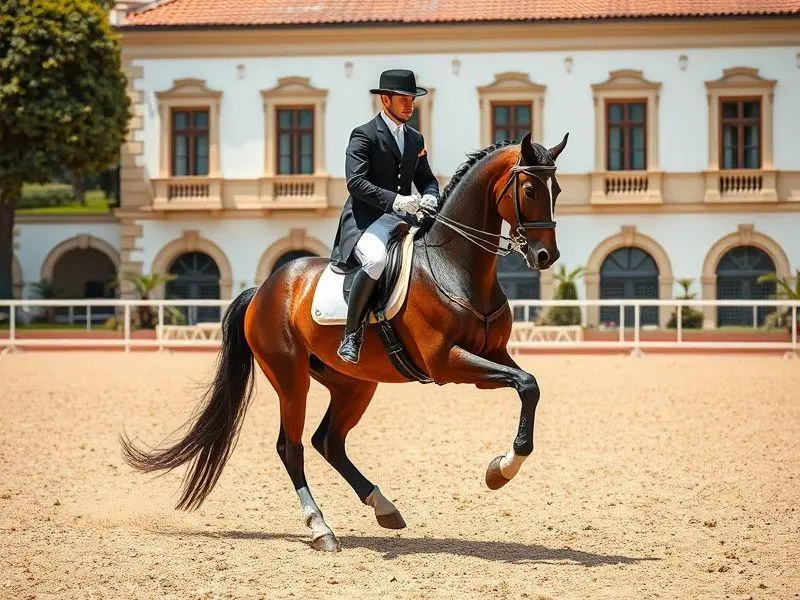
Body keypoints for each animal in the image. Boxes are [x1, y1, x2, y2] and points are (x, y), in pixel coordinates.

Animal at [120, 130, 569, 552]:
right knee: (291, 447)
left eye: (558, 190)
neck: (453, 266)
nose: (546, 256)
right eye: (530, 190)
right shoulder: (447, 362)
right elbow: (526, 384)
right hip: (291, 380)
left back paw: (384, 507)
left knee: (329, 442)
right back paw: (321, 528)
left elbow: (529, 385)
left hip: (354, 383)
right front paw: (502, 470)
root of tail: (264, 288)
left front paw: (500, 469)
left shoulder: (491, 355)